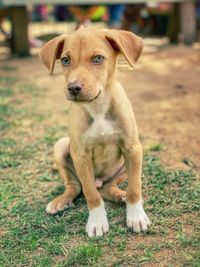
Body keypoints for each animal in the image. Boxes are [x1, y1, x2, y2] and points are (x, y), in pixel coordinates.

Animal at [39, 27, 151, 239]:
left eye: (98, 58)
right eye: (65, 60)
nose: (73, 88)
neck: (98, 107)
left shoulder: (132, 148)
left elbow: (135, 187)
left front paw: (136, 216)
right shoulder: (81, 156)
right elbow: (91, 194)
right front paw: (97, 221)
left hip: (129, 163)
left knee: (108, 187)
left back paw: (121, 195)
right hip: (61, 146)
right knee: (76, 186)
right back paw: (61, 201)